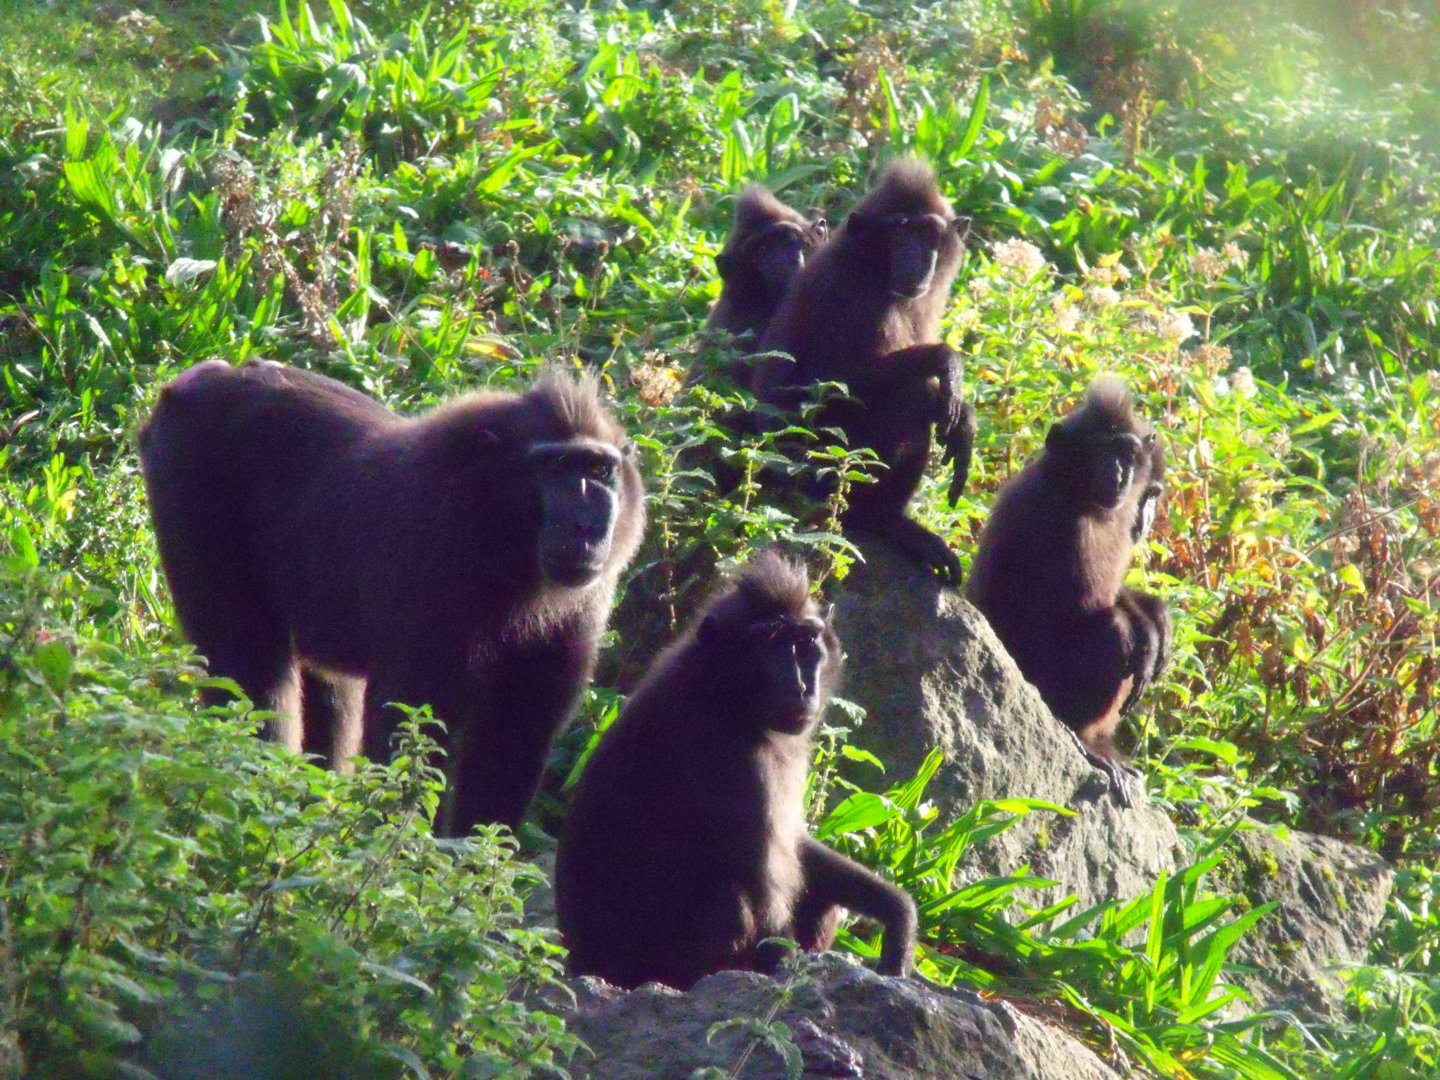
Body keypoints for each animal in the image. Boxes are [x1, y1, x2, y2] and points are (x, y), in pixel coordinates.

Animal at [138, 360, 644, 835]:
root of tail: (199, 379)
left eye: (599, 471)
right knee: (247, 665)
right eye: (555, 468)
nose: (587, 527)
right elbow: (408, 727)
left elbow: (512, 736)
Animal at [555, 550, 918, 990]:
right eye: (774, 644)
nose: (803, 688)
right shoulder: (729, 758)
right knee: (730, 898)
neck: (724, 692)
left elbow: (795, 845)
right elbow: (760, 887)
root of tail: (582, 960)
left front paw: (896, 912)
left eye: (806, 644)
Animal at [751, 158, 975, 587]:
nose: (920, 257)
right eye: (901, 230)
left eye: (928, 234)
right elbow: (828, 384)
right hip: (815, 474)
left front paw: (966, 419)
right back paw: (879, 520)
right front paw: (947, 362)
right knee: (911, 394)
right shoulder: (846, 292)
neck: (874, 269)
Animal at [965, 377, 1170, 807]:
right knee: (1113, 632)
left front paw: (1156, 614)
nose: (1120, 474)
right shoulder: (1063, 523)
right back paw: (1085, 738)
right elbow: (1086, 610)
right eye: (1103, 451)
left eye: (1127, 453)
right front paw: (1146, 631)